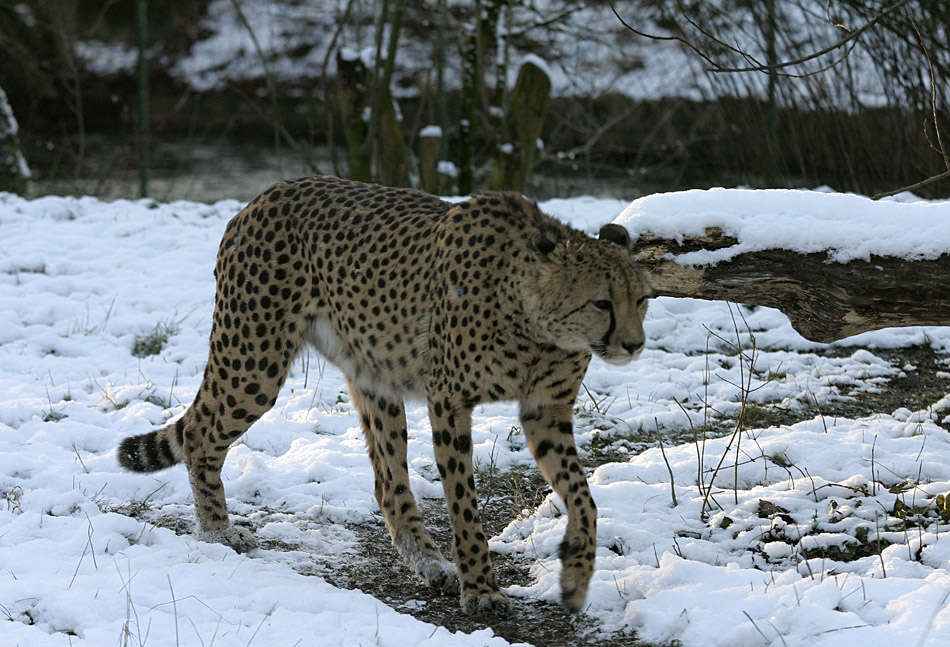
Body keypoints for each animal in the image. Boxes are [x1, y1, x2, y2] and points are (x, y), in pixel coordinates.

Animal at [117, 173, 656, 616]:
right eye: (601, 302)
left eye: (643, 299)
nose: (634, 344)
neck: (535, 323)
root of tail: (266, 194)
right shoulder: (449, 402)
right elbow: (464, 504)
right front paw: (482, 590)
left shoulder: (545, 411)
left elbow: (583, 498)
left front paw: (576, 577)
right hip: (255, 361)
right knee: (201, 436)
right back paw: (216, 532)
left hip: (372, 375)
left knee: (388, 481)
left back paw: (432, 564)